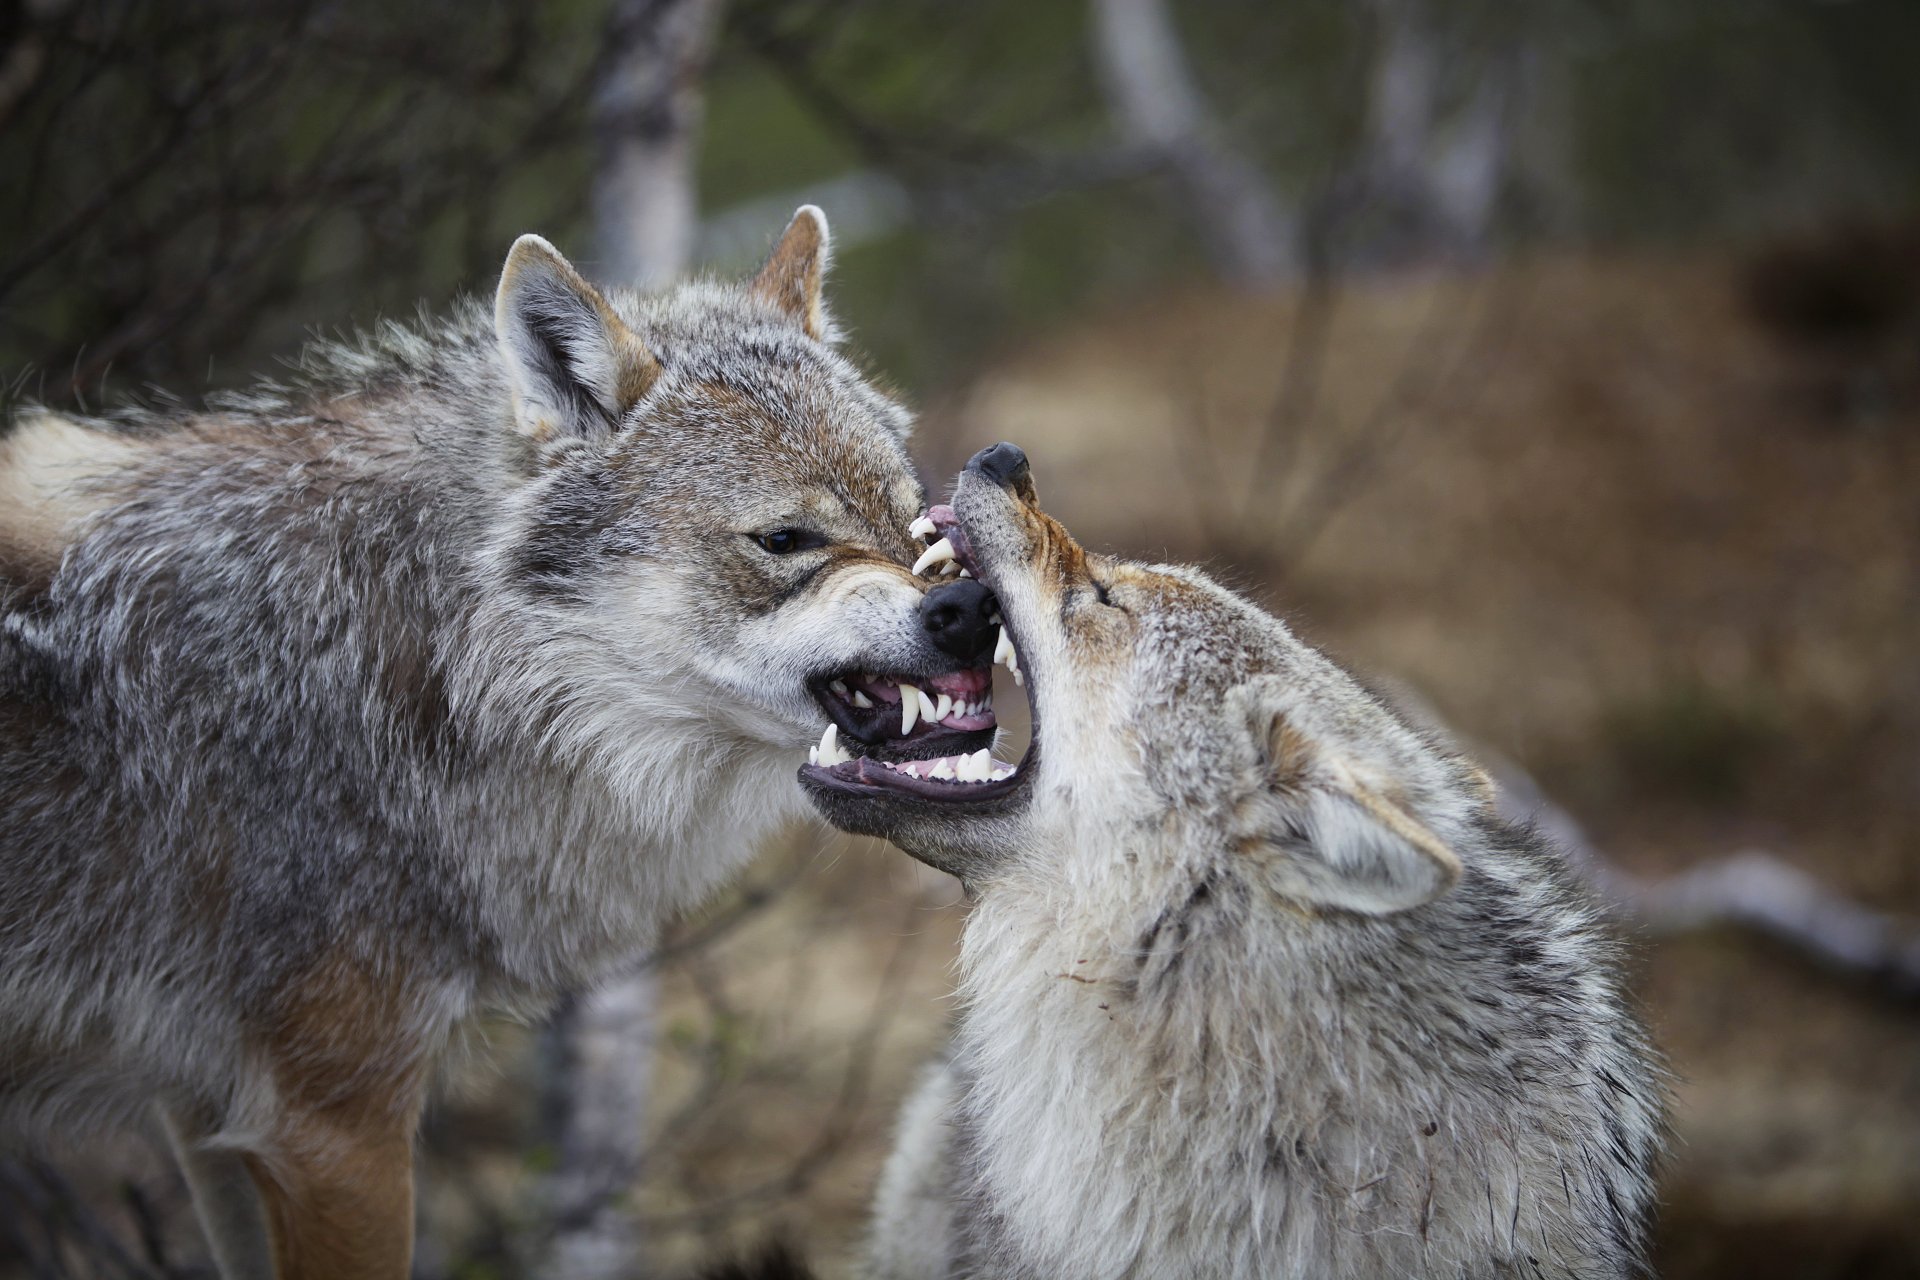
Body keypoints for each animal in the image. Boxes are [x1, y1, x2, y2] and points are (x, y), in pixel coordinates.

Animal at [0, 208, 1005, 1279]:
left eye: (913, 519)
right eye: (785, 541)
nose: (969, 608)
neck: (421, 660)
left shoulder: (209, 1112)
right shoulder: (331, 1123)